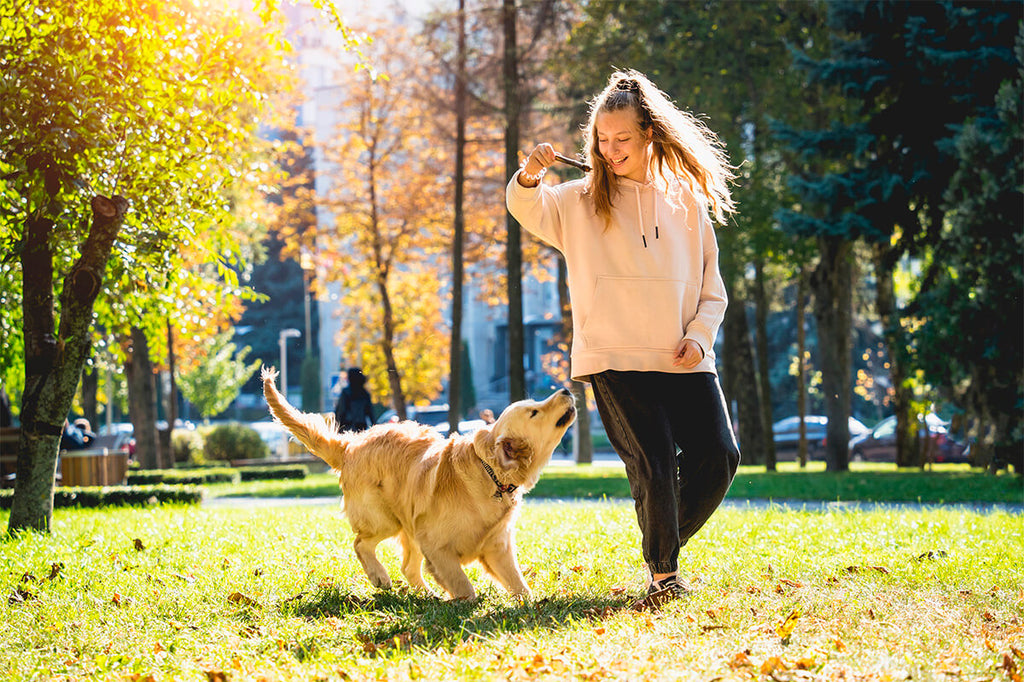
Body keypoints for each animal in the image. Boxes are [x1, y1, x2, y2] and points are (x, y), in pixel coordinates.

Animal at [262, 366, 577, 593]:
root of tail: (350, 445)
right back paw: (380, 577)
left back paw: (427, 595)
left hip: (409, 526)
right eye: (534, 411)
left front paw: (530, 605)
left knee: (408, 568)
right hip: (385, 518)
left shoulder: (497, 547)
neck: (490, 473)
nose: (566, 389)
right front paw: (466, 605)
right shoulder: (437, 547)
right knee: (361, 544)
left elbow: (520, 585)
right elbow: (463, 585)